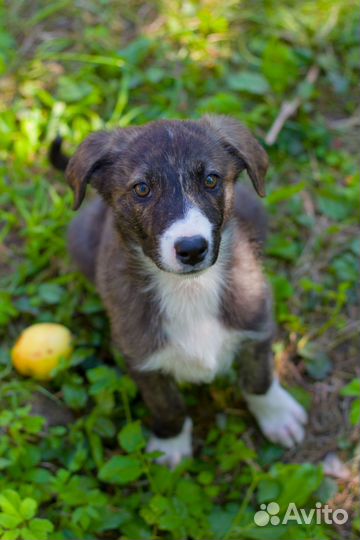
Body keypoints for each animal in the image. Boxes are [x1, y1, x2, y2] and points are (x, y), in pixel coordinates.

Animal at [52, 116, 308, 466]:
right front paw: (171, 446)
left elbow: (259, 378)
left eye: (211, 180)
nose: (192, 249)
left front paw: (278, 415)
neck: (189, 289)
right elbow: (168, 406)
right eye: (142, 189)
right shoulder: (141, 357)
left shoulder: (257, 322)